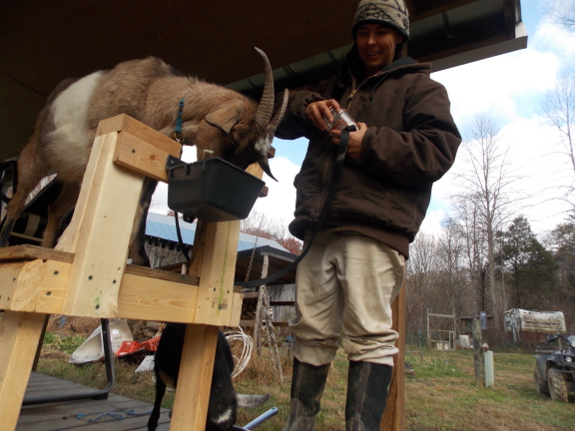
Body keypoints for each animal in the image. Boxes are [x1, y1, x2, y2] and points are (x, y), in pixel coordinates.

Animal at [0, 47, 288, 264]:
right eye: (235, 138)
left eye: (250, 160)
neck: (150, 92)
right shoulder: (101, 138)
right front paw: (70, 246)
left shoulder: (153, 156)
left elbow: (144, 202)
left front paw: (140, 259)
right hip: (37, 151)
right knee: (18, 198)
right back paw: (7, 244)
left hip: (71, 172)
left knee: (55, 208)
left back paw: (46, 249)